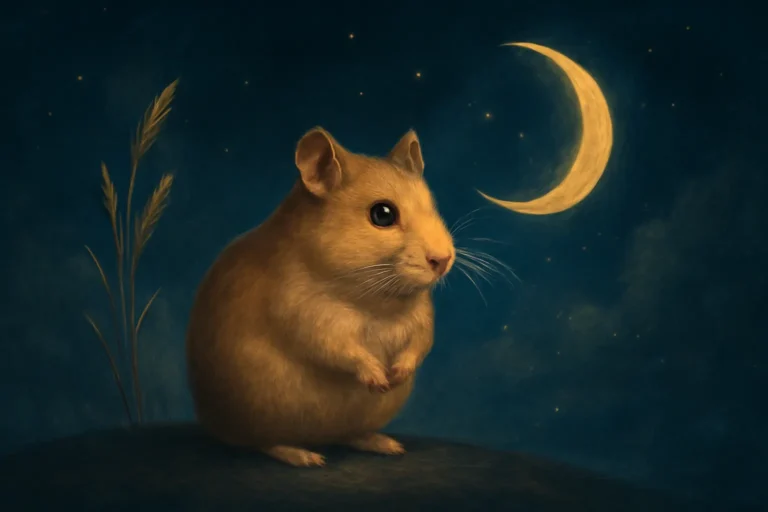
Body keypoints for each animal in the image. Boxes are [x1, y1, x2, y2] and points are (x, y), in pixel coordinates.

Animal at [186, 127, 455, 467]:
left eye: (432, 206)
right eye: (382, 215)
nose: (443, 260)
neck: (376, 298)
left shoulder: (422, 321)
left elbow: (419, 346)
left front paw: (396, 374)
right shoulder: (310, 318)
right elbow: (342, 351)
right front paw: (379, 379)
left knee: (348, 435)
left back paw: (385, 444)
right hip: (259, 413)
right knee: (263, 442)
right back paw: (306, 457)